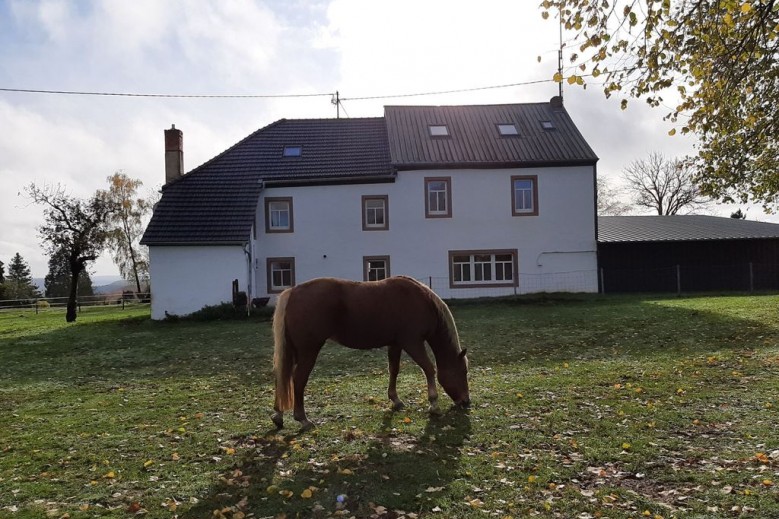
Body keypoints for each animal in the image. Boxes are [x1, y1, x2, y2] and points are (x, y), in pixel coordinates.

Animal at [274, 276, 470, 430]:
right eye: (463, 372)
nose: (466, 402)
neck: (422, 302)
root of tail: (293, 292)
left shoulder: (395, 344)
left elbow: (394, 370)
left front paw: (395, 400)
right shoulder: (413, 343)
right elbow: (429, 368)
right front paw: (434, 404)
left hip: (294, 352)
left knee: (283, 377)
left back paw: (278, 415)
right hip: (309, 351)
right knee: (298, 380)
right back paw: (303, 419)